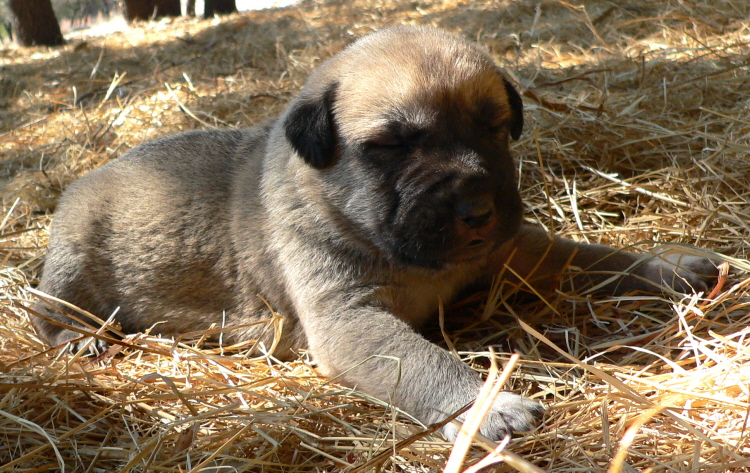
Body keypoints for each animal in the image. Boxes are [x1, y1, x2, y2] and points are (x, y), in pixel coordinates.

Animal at [32, 24, 720, 438]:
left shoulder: (515, 251)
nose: (477, 207)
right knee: (48, 314)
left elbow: (592, 256)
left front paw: (667, 264)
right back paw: (80, 341)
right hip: (71, 262)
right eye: (391, 146)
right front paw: (486, 404)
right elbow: (423, 363)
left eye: (495, 126)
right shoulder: (350, 319)